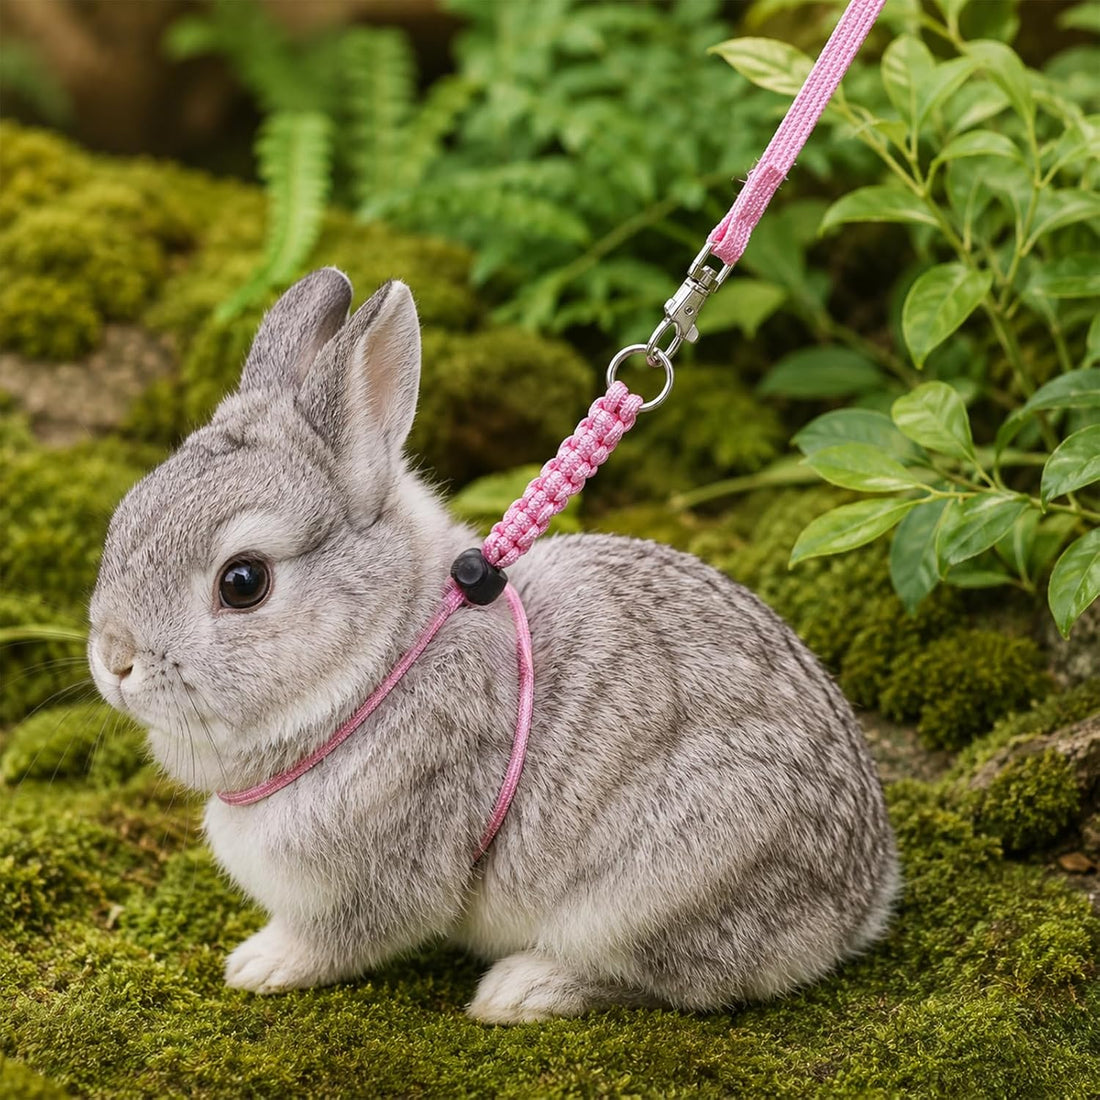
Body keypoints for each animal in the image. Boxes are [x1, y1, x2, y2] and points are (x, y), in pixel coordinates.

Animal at [88, 268, 899, 1024]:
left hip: (664, 886)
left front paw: (258, 965)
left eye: (243, 581)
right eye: (123, 516)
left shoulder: (385, 872)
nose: (115, 661)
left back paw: (522, 991)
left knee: (666, 979)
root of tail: (861, 901)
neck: (384, 662)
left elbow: (340, 939)